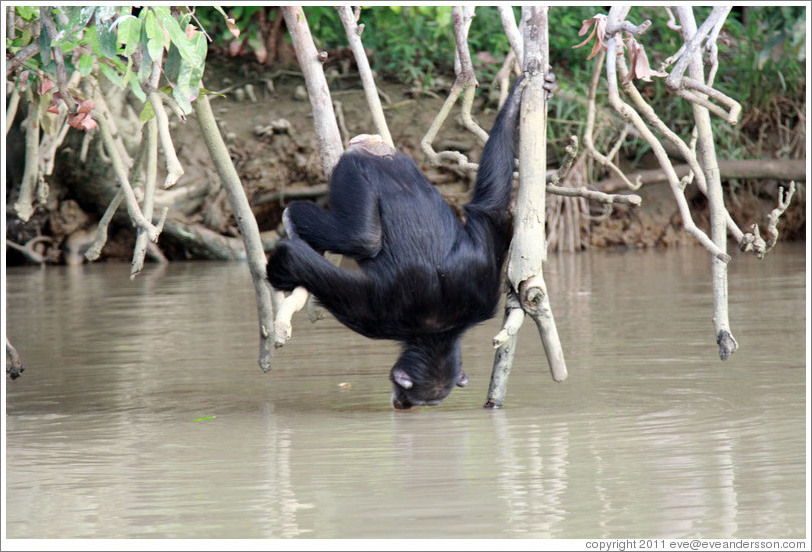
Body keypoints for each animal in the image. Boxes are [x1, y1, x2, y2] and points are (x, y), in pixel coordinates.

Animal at [266, 75, 532, 408]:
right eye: (412, 397)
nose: (401, 404)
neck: (439, 331)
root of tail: (377, 151)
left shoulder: (483, 282)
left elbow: (490, 207)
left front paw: (515, 101)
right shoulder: (375, 313)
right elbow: (307, 266)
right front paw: (279, 268)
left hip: (396, 165)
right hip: (350, 172)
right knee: (363, 238)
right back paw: (292, 215)